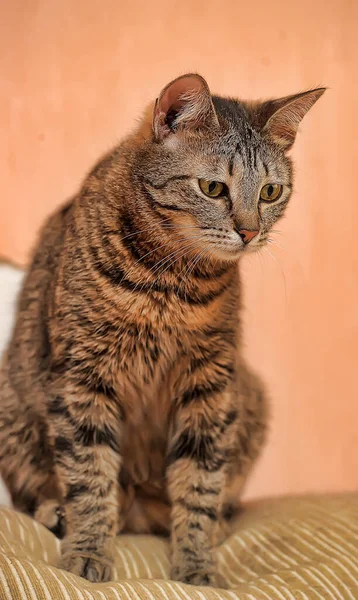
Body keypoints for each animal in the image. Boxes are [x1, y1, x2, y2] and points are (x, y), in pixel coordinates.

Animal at [0, 72, 324, 584]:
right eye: (213, 188)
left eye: (270, 192)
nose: (250, 231)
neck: (172, 285)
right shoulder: (82, 376)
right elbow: (89, 474)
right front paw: (89, 550)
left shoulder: (210, 382)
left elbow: (200, 481)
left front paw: (196, 560)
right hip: (13, 406)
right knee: (37, 492)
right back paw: (59, 512)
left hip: (249, 393)